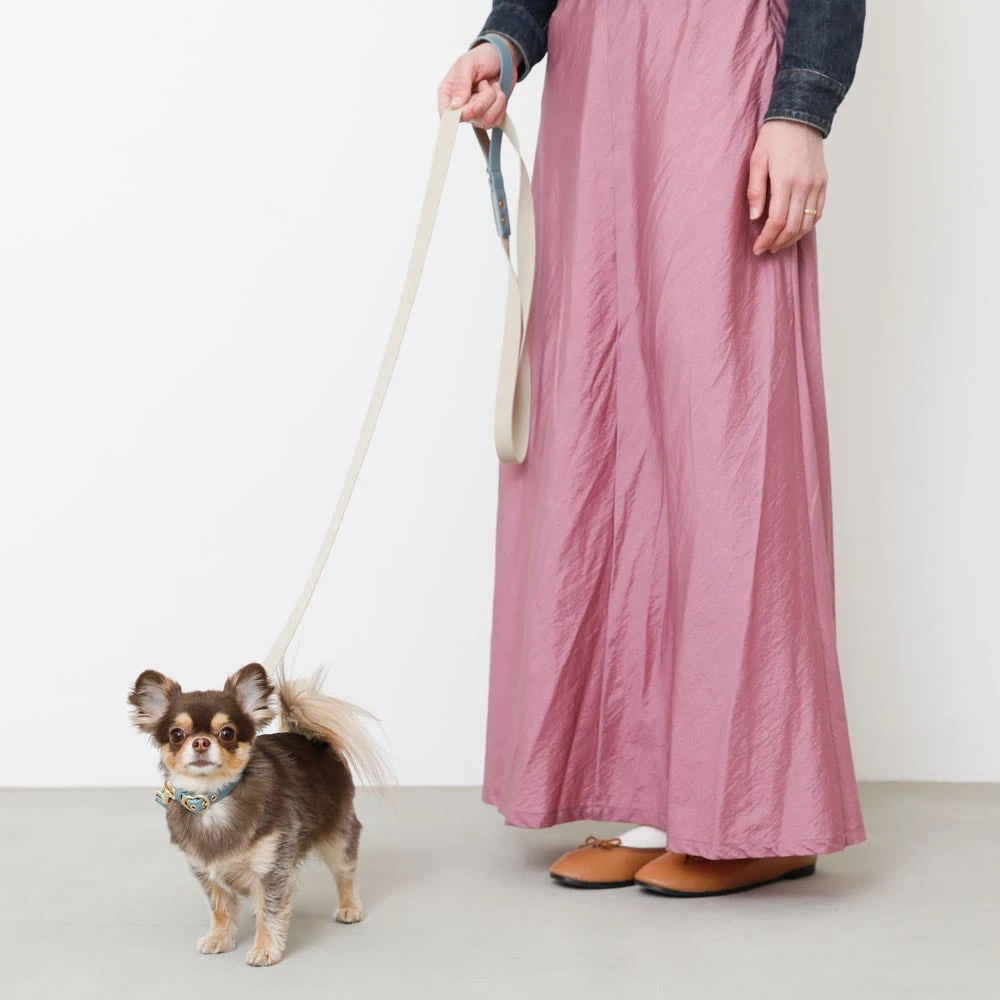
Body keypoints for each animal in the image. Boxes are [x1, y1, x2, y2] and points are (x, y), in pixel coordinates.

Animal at [128, 662, 388, 966]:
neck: (212, 799)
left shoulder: (273, 867)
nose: (201, 742)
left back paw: (349, 908)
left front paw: (265, 949)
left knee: (345, 874)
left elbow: (271, 913)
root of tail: (312, 739)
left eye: (227, 733)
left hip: (338, 837)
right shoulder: (208, 873)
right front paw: (220, 938)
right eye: (177, 735)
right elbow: (221, 910)